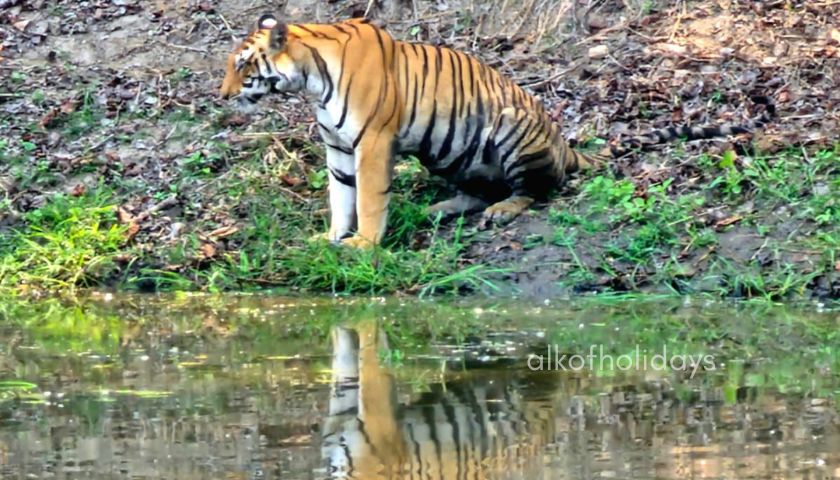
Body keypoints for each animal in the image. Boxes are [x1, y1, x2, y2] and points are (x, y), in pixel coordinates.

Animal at [220, 15, 775, 248]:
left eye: (243, 65)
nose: (222, 96)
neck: (311, 80)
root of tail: (562, 142)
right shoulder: (337, 148)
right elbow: (341, 197)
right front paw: (332, 236)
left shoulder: (372, 142)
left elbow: (370, 200)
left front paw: (363, 245)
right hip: (450, 151)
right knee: (478, 189)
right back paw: (443, 207)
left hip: (511, 131)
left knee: (539, 188)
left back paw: (505, 210)